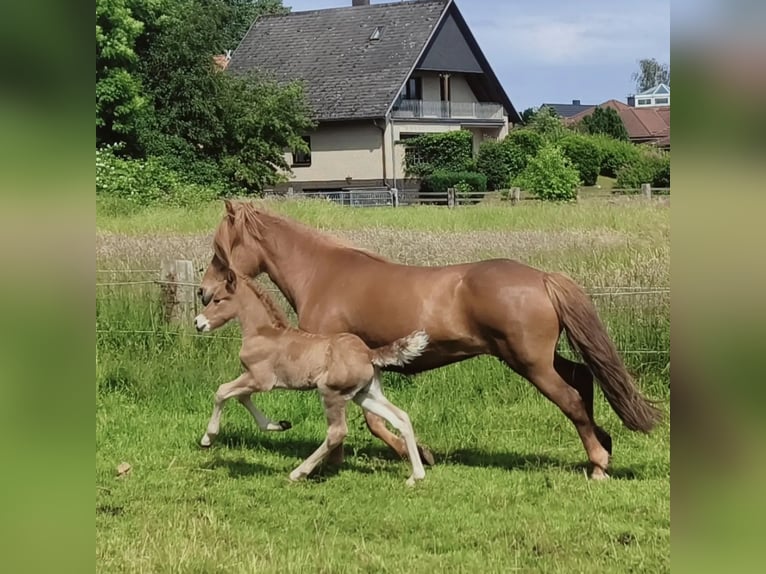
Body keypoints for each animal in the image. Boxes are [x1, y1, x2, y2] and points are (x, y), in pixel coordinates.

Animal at [194, 272, 432, 488]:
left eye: (218, 299)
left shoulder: (260, 379)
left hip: (331, 392)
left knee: (337, 431)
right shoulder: (254, 379)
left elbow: (222, 391)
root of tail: (369, 353)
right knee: (401, 417)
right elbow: (242, 397)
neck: (263, 333)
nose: (198, 323)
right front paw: (279, 425)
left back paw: (298, 473)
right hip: (365, 394)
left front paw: (207, 438)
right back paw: (416, 476)